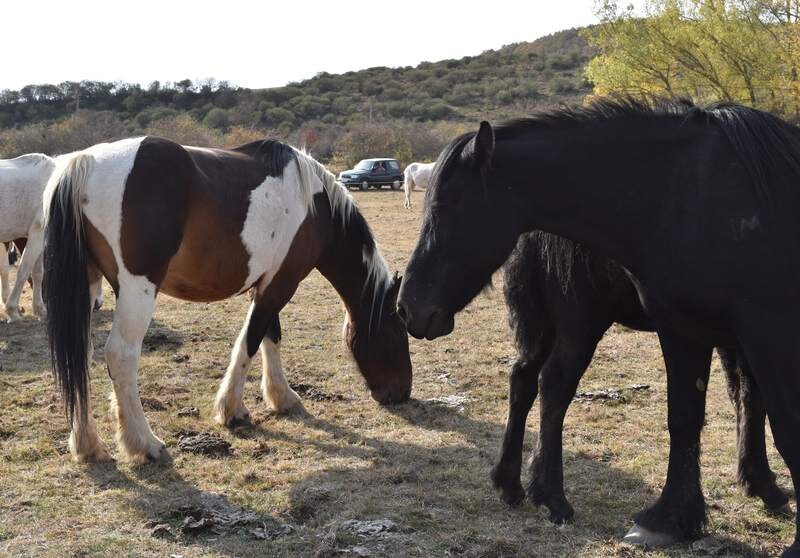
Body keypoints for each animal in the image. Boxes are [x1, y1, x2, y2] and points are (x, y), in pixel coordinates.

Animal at [0, 152, 103, 324]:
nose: (98, 304)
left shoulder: (41, 239)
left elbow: (38, 273)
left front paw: (40, 310)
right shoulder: (36, 234)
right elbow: (23, 271)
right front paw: (12, 311)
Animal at [43, 138, 412, 466]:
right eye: (396, 331)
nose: (401, 393)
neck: (316, 204)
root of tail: (84, 163)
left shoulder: (268, 285)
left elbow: (270, 337)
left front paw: (281, 396)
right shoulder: (281, 285)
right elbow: (250, 341)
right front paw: (232, 409)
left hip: (87, 287)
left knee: (80, 355)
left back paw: (88, 445)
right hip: (137, 290)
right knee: (120, 356)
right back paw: (144, 443)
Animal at [494, 229, 788, 524]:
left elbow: (747, 397)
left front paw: (757, 480)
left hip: (547, 322)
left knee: (523, 379)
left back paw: (510, 483)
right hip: (581, 320)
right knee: (555, 384)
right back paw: (552, 497)